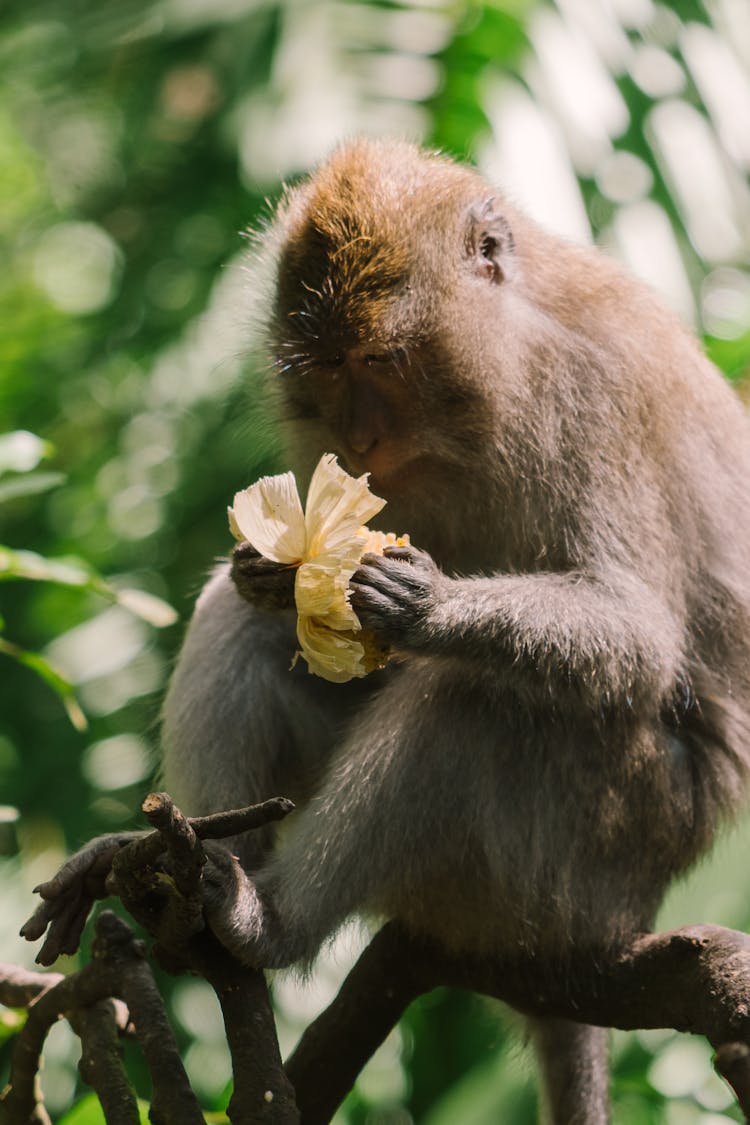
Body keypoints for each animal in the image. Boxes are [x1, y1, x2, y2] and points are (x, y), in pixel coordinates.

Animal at [20, 136, 750, 1120]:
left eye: (383, 358)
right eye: (329, 371)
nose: (361, 439)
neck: (508, 362)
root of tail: (626, 918)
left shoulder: (593, 399)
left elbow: (638, 635)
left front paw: (426, 605)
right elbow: (265, 601)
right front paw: (269, 571)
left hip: (602, 843)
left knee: (474, 700)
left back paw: (269, 921)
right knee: (247, 633)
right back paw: (196, 868)